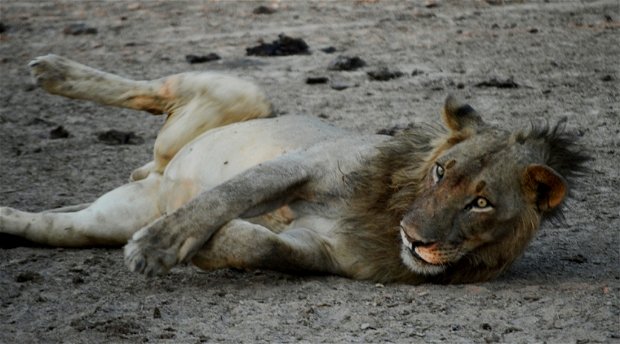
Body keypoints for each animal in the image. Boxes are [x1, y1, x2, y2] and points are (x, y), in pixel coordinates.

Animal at [0, 55, 588, 284]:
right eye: (442, 171)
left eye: (481, 202)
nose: (415, 238)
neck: (390, 210)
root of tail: (156, 176)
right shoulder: (308, 162)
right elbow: (228, 195)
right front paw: (159, 245)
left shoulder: (320, 252)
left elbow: (259, 244)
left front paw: (205, 245)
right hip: (244, 93)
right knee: (150, 90)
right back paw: (52, 70)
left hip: (102, 219)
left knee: (51, 225)